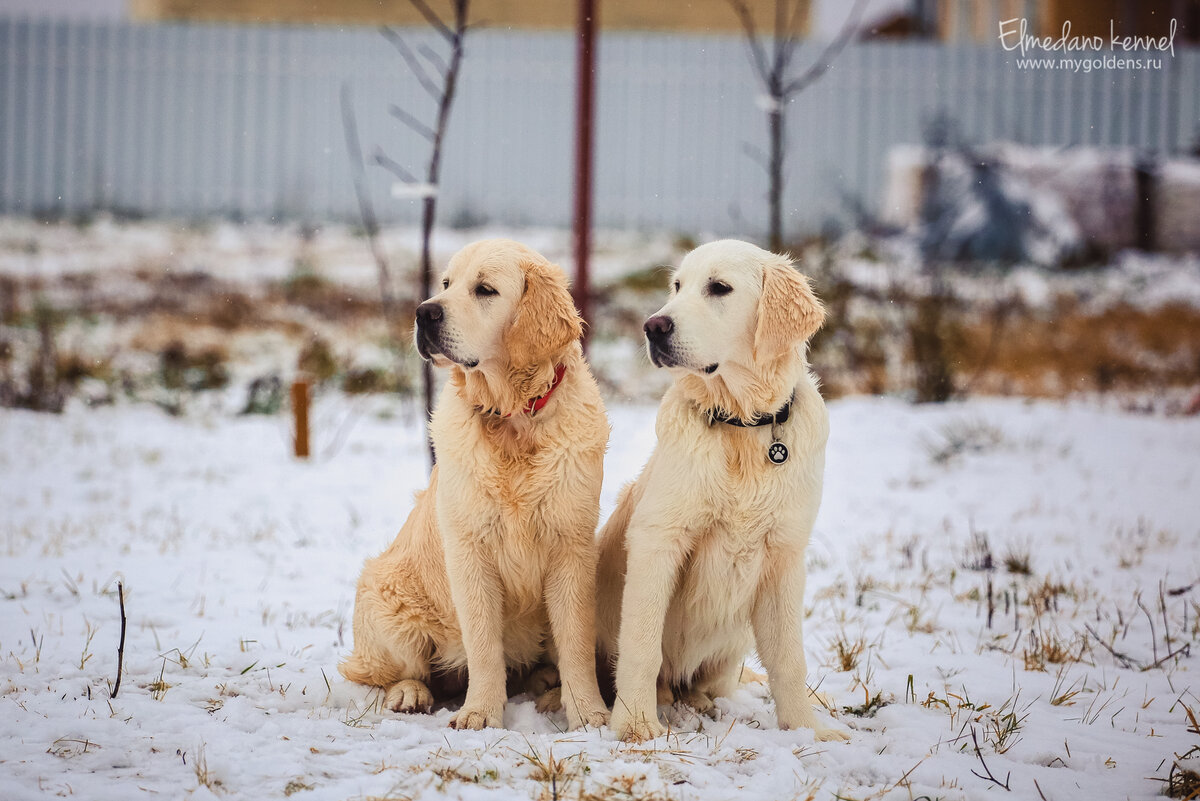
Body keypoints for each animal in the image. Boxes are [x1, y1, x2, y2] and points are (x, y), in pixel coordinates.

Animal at [343, 236, 614, 733]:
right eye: (446, 283)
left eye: (484, 289)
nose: (424, 312)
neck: (512, 419)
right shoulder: (470, 552)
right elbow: (485, 645)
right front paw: (481, 713)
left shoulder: (572, 549)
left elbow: (576, 646)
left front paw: (588, 713)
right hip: (385, 597)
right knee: (391, 672)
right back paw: (410, 693)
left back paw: (548, 687)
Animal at [595, 237, 849, 743]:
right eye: (676, 286)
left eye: (719, 288)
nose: (653, 326)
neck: (741, 424)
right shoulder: (658, 538)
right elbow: (641, 643)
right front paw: (636, 725)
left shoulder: (784, 554)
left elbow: (789, 659)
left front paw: (807, 730)